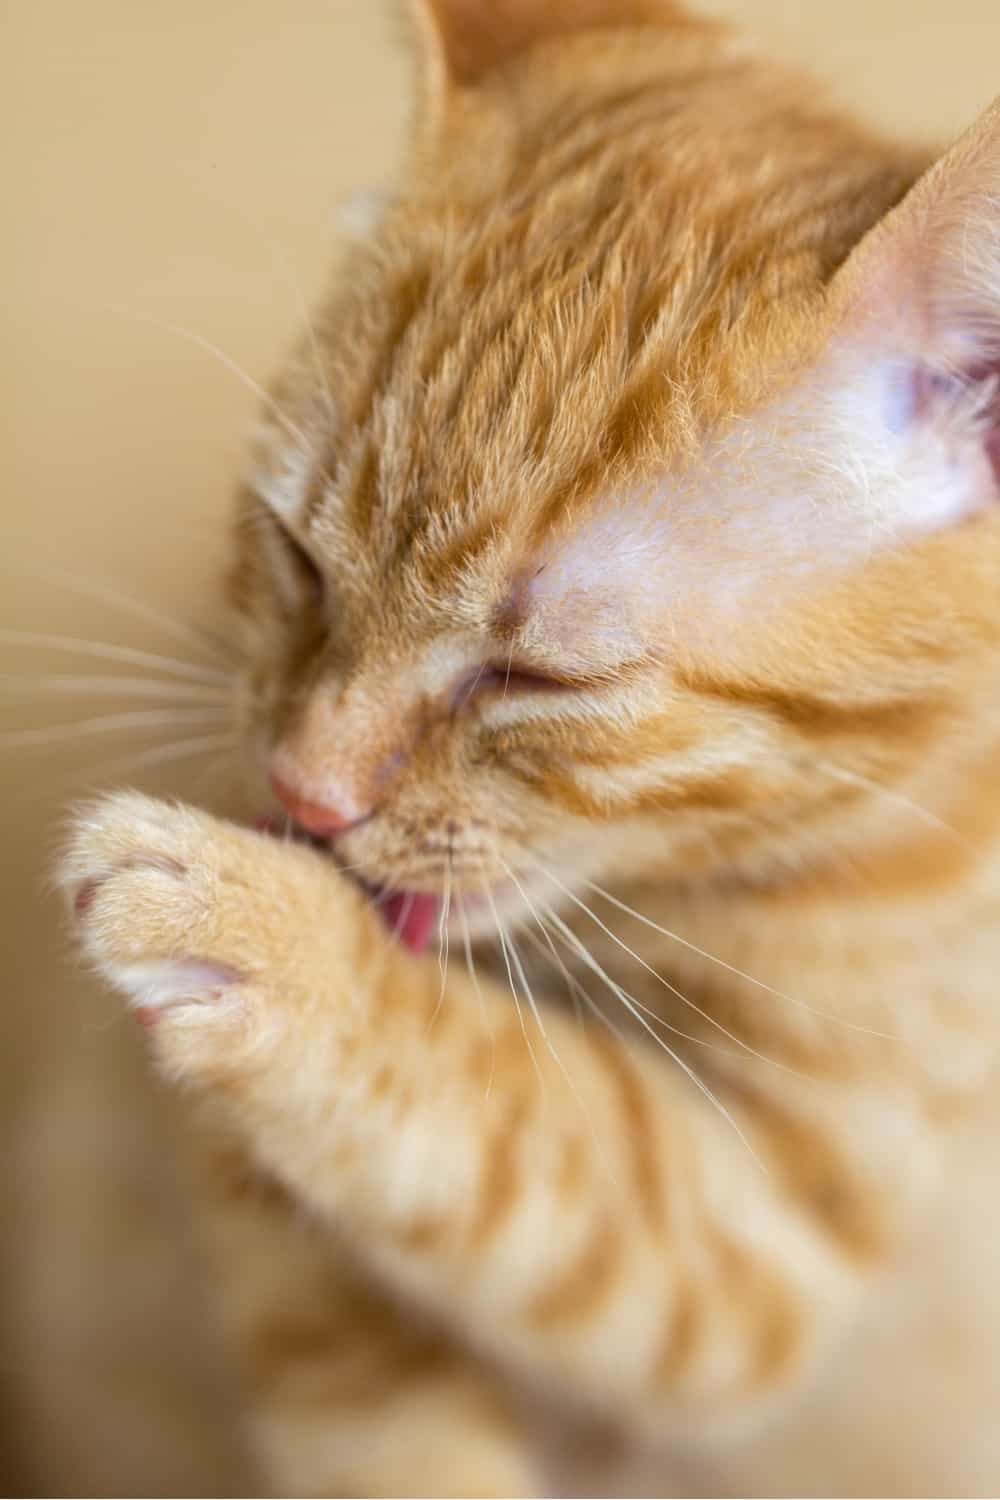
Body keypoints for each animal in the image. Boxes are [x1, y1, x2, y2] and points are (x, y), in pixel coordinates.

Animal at [60, 0, 1000, 1494]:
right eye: (299, 561)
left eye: (535, 676)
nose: (304, 795)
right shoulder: (265, 1235)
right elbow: (368, 1400)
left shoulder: (765, 1242)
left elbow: (518, 1122)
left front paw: (274, 935)